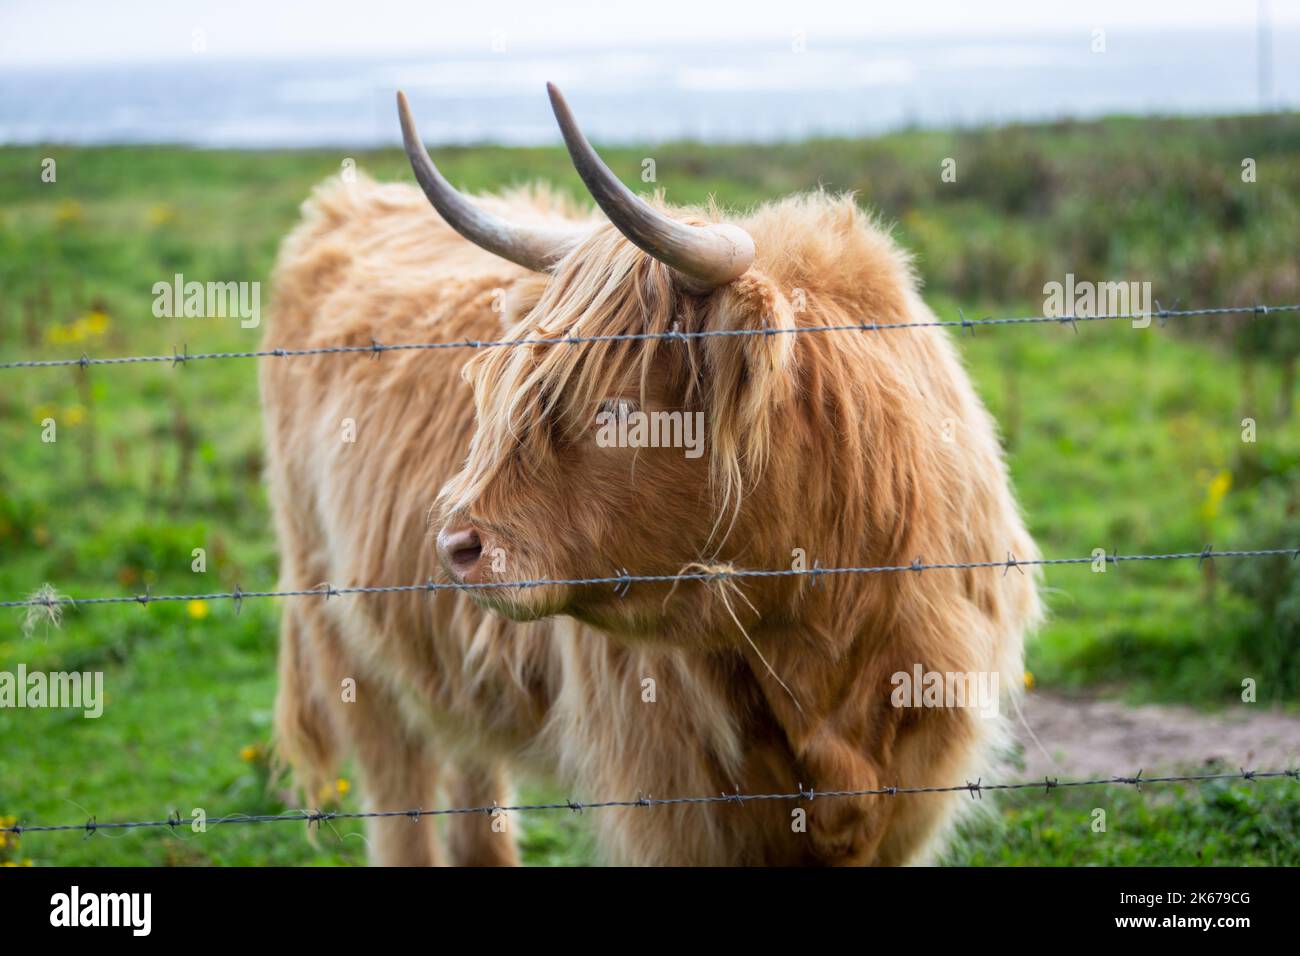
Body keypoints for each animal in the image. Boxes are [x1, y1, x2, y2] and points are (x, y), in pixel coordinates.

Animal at [258, 85, 1040, 868]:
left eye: (618, 410)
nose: (456, 549)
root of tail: (350, 202)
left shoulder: (913, 786)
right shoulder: (679, 804)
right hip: (341, 630)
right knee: (399, 791)